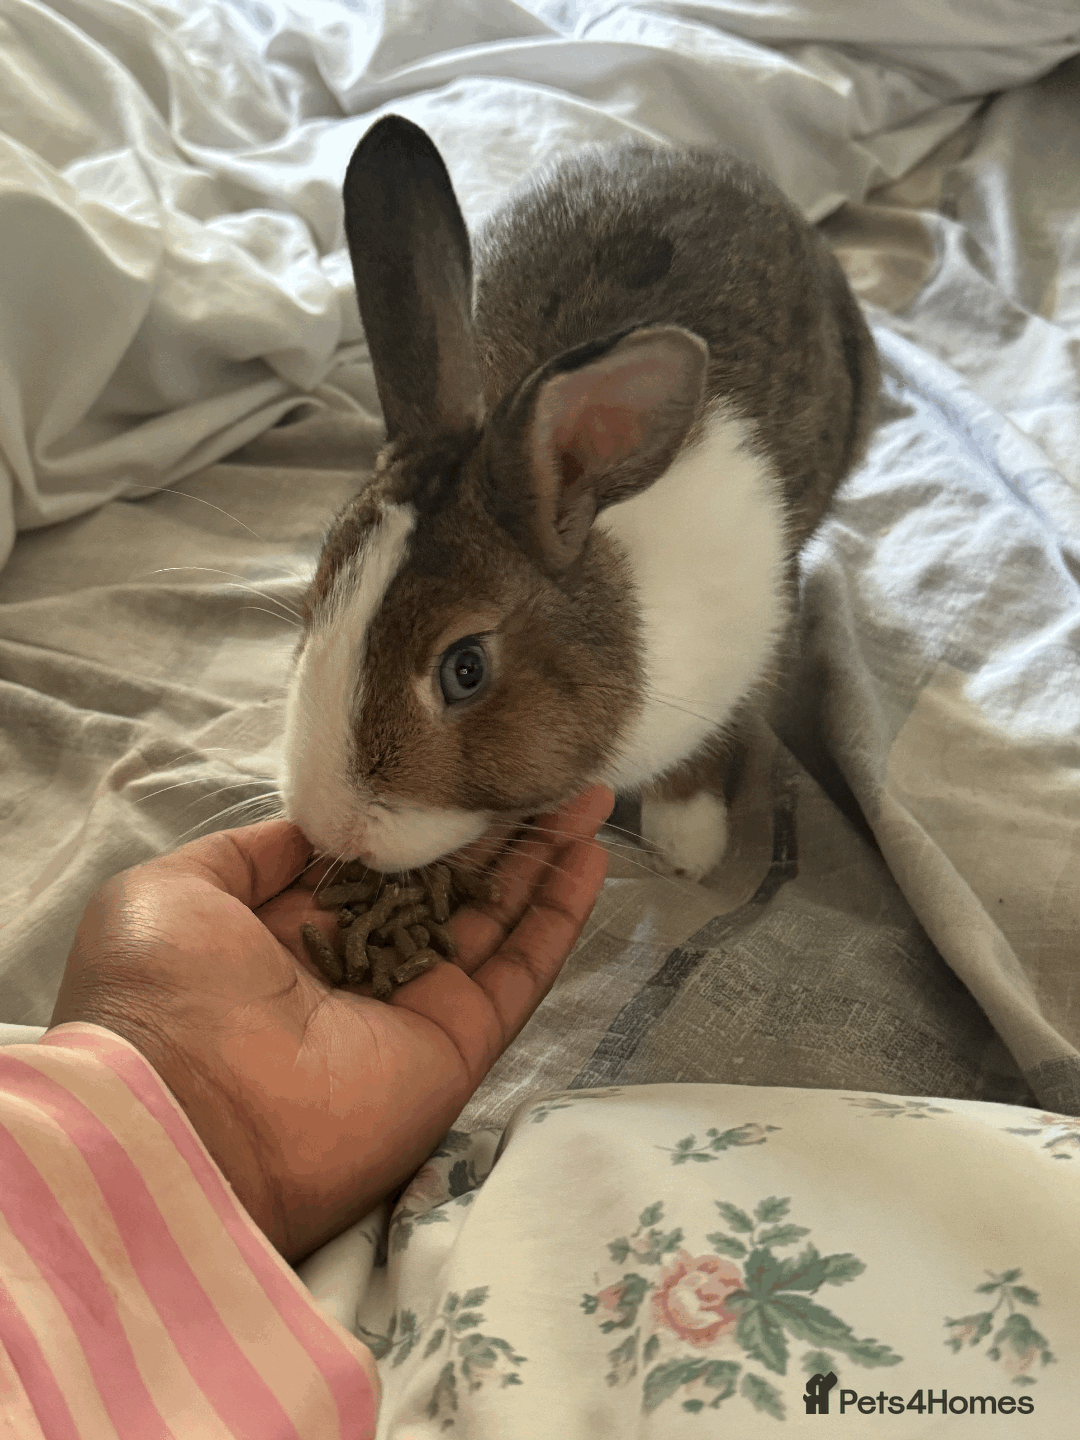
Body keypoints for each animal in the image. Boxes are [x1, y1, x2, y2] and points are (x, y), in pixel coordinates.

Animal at [281, 115, 879, 881]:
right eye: (313, 604)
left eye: (465, 670)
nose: (333, 827)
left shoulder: (750, 653)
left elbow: (708, 753)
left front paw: (687, 847)